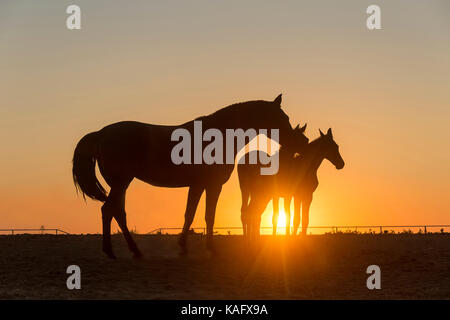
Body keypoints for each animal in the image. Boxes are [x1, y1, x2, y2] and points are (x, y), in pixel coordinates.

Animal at [73, 93, 306, 258]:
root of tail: (101, 133)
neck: (219, 136)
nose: (299, 143)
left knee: (117, 212)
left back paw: (133, 251)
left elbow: (197, 215)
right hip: (121, 182)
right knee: (109, 210)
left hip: (120, 183)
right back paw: (113, 251)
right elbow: (201, 215)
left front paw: (188, 247)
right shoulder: (209, 185)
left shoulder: (202, 185)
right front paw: (206, 249)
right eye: (283, 118)